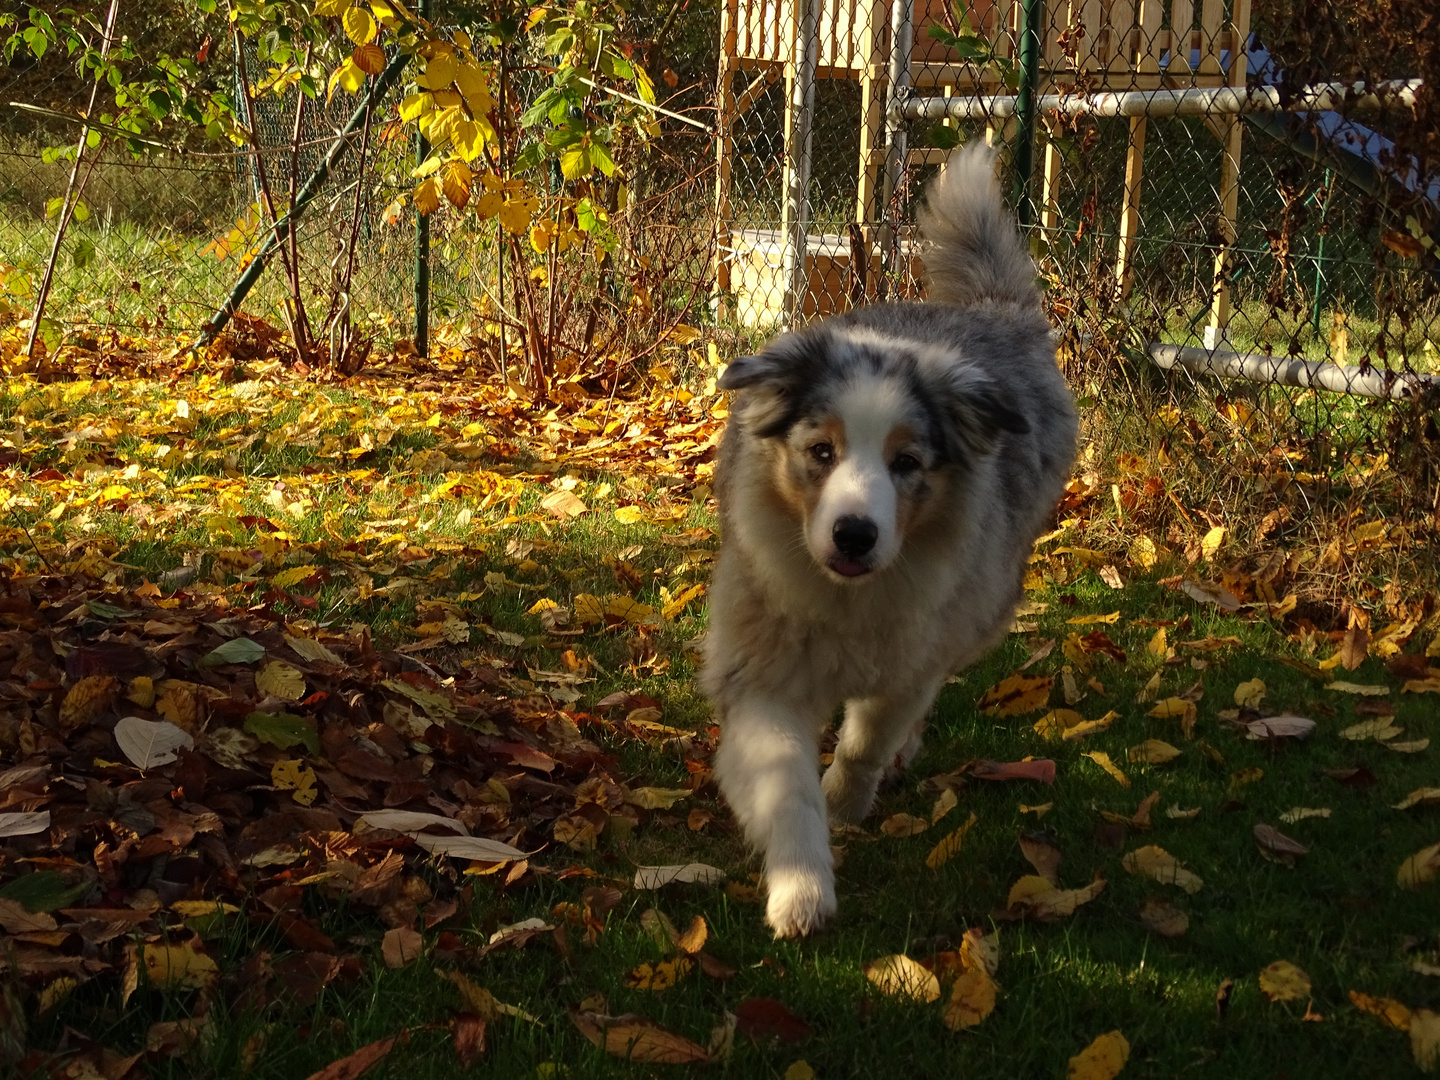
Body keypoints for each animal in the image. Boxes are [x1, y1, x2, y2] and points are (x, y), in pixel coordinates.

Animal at [696, 144, 1082, 938]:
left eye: (907, 464)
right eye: (820, 452)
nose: (854, 534)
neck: (846, 601)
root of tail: (992, 315)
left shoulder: (912, 657)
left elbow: (868, 740)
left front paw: (847, 800)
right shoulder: (761, 673)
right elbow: (786, 786)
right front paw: (801, 888)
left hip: (980, 606)